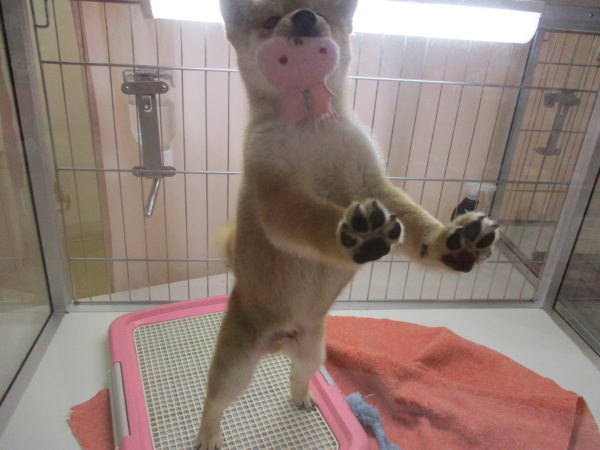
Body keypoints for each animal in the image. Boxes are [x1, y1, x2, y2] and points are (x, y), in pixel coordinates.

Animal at [196, 1, 498, 448]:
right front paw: (357, 233)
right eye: (270, 21)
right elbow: (313, 217)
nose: (305, 17)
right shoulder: (278, 194)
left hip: (312, 354)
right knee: (214, 402)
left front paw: (452, 241)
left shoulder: (373, 183)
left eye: (322, 11)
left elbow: (415, 221)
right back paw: (207, 435)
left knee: (298, 375)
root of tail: (280, 341)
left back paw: (303, 396)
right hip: (236, 366)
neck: (312, 125)